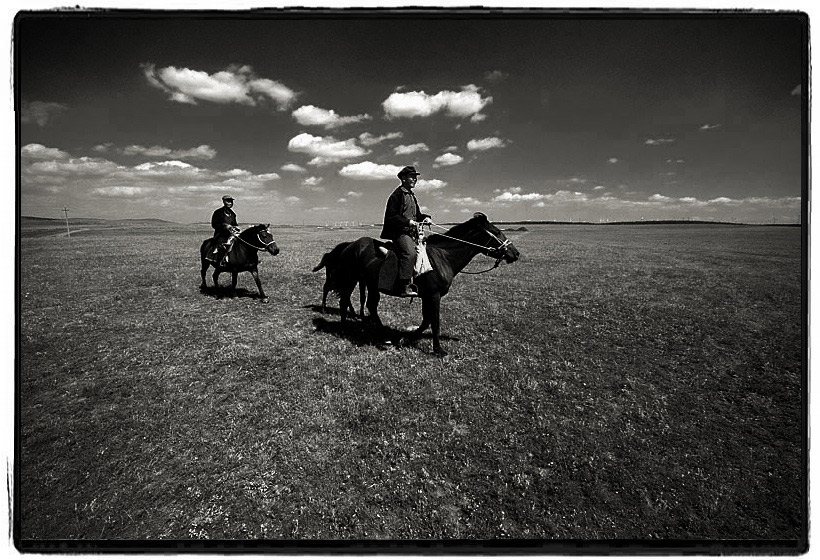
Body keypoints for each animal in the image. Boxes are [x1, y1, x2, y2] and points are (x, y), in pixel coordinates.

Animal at [328, 212, 516, 356]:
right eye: (497, 232)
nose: (516, 253)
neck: (442, 257)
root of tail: (351, 245)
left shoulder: (427, 296)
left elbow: (426, 320)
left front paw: (405, 339)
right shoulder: (434, 295)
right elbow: (435, 321)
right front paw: (438, 349)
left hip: (372, 285)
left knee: (371, 307)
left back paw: (384, 336)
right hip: (352, 280)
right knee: (344, 301)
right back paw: (344, 329)